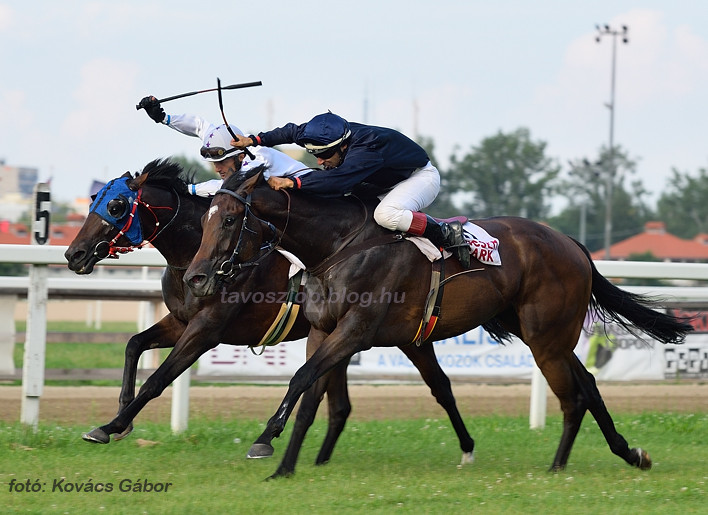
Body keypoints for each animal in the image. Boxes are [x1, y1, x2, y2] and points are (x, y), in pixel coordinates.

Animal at [65, 160, 476, 468]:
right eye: (92, 200)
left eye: (116, 206)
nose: (74, 254)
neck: (196, 254)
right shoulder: (180, 320)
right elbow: (134, 344)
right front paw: (120, 418)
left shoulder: (206, 329)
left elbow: (159, 378)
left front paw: (112, 424)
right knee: (343, 404)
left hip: (392, 333)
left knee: (435, 386)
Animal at [184, 170, 692, 480]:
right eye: (203, 220)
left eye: (229, 219)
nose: (196, 277)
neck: (339, 244)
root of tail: (571, 242)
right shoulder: (326, 331)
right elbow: (310, 394)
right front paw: (285, 466)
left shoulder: (355, 332)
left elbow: (301, 379)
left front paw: (264, 441)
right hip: (545, 335)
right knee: (586, 383)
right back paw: (617, 455)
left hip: (546, 337)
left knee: (573, 394)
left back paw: (565, 466)